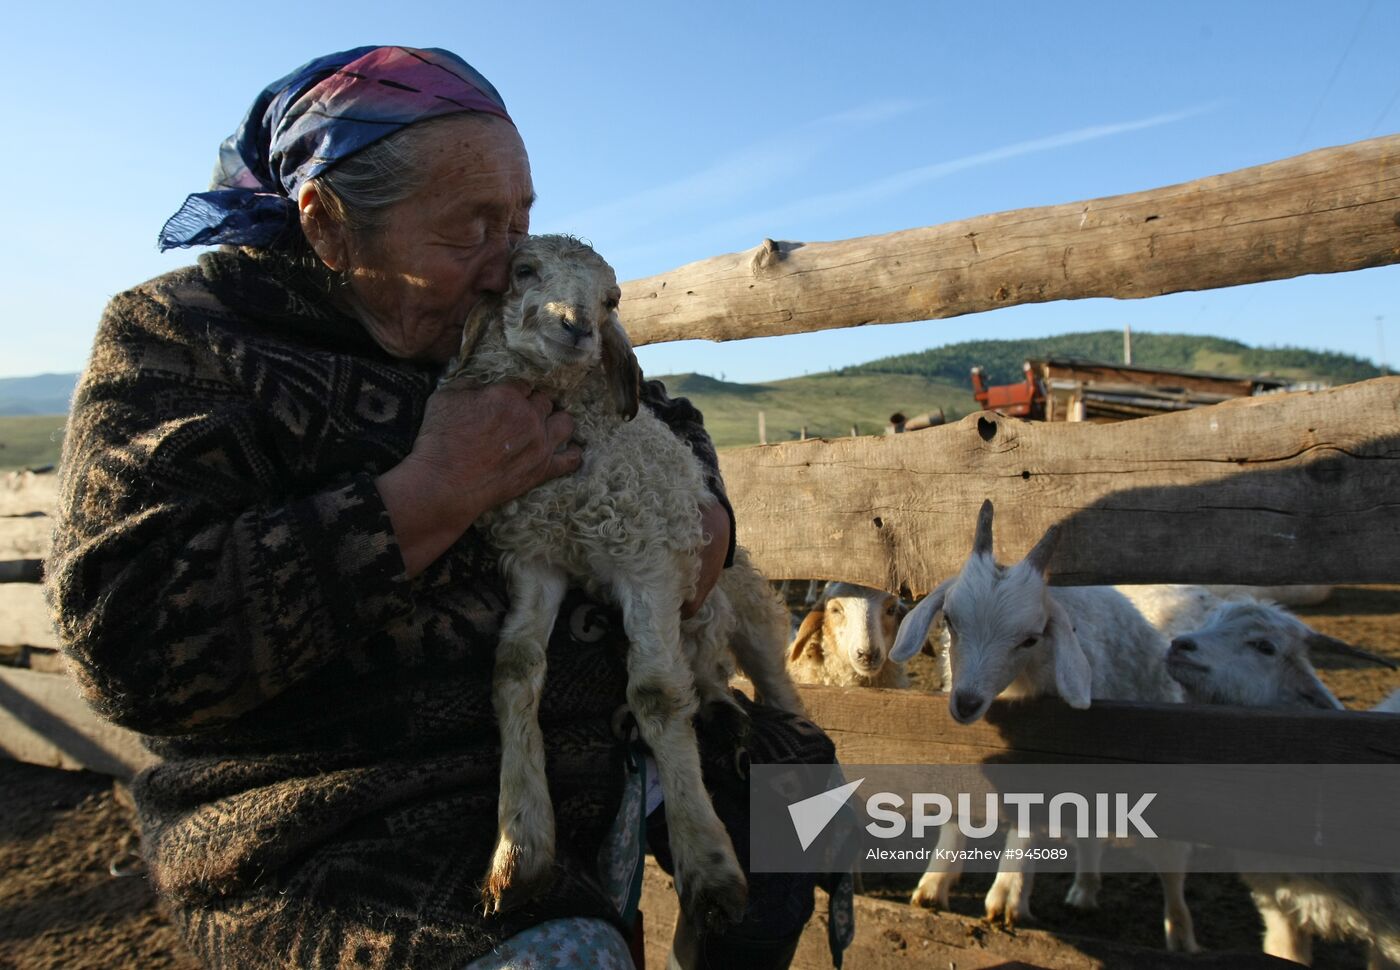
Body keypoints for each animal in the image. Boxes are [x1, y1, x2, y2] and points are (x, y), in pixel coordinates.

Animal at [442, 232, 806, 923]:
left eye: (612, 298)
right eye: (522, 269)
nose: (576, 326)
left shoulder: (648, 565)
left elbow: (657, 695)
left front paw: (708, 863)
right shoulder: (536, 558)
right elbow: (514, 668)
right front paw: (520, 846)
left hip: (743, 598)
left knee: (770, 675)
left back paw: (780, 720)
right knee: (706, 676)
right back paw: (723, 713)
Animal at [890, 503, 1198, 951]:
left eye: (1030, 639)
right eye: (949, 619)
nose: (966, 703)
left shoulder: (1042, 749)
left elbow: (1031, 813)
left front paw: (1008, 892)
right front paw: (934, 882)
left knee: (1172, 865)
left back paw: (1180, 935)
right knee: (1090, 832)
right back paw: (1084, 891)